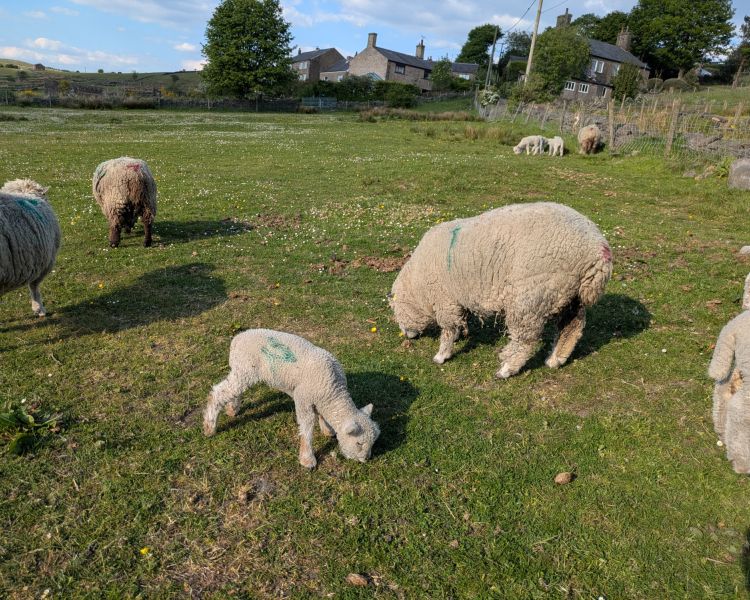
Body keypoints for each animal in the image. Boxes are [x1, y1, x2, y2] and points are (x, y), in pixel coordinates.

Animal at [203, 329, 380, 469]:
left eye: (372, 442)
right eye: (359, 443)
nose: (366, 459)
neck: (332, 392)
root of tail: (237, 339)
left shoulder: (318, 398)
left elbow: (321, 415)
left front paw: (327, 429)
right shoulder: (303, 397)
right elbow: (307, 426)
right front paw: (307, 459)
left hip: (242, 370)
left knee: (233, 390)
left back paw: (232, 409)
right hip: (245, 368)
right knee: (218, 393)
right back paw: (209, 427)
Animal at [389, 202, 612, 379]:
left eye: (395, 311)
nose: (407, 335)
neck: (417, 287)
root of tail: (599, 250)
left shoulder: (444, 299)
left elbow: (449, 328)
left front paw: (442, 355)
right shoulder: (457, 299)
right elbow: (459, 322)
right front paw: (461, 334)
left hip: (532, 294)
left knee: (525, 338)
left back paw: (507, 369)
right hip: (568, 292)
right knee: (572, 326)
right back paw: (555, 359)